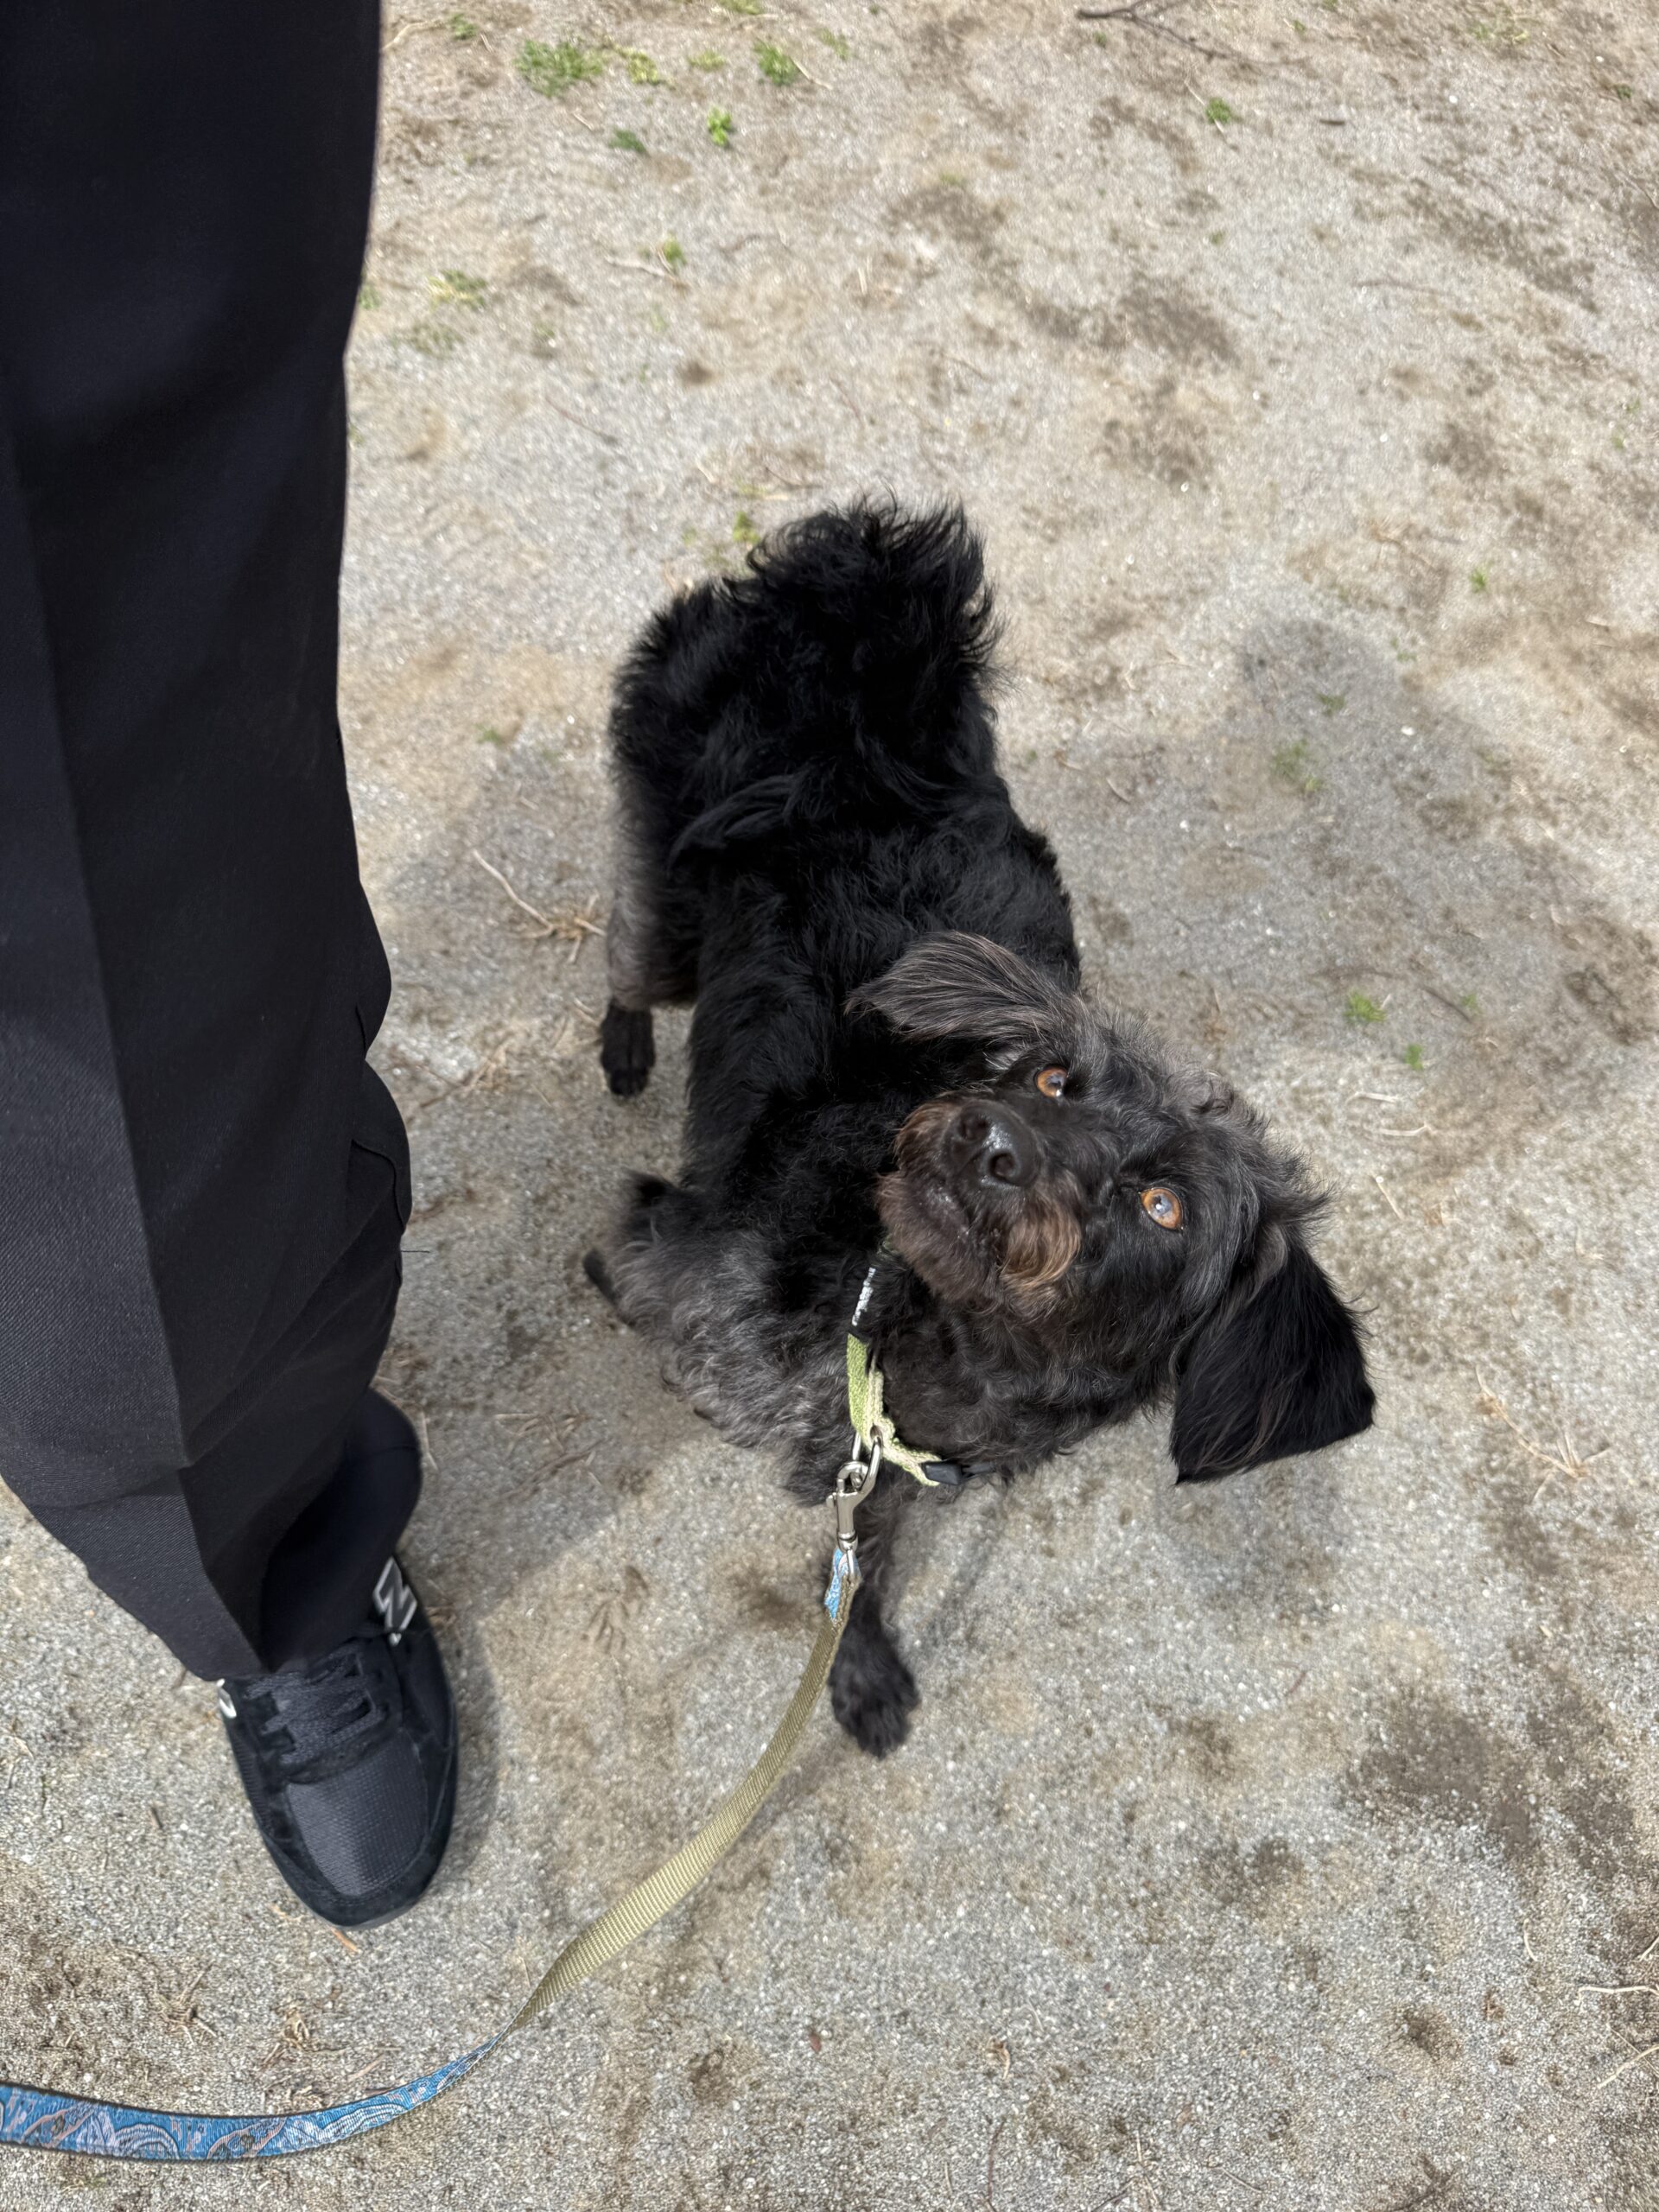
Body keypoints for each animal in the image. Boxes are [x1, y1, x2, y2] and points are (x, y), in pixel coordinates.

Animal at [585, 502, 1373, 1755]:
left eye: (1165, 1203)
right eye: (1053, 1078)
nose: (986, 1141)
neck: (906, 1328)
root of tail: (867, 611)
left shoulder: (892, 1469)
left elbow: (862, 1555)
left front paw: (856, 1660)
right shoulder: (671, 1248)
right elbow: (632, 1270)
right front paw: (606, 1289)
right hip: (661, 891)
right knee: (626, 958)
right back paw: (624, 1051)